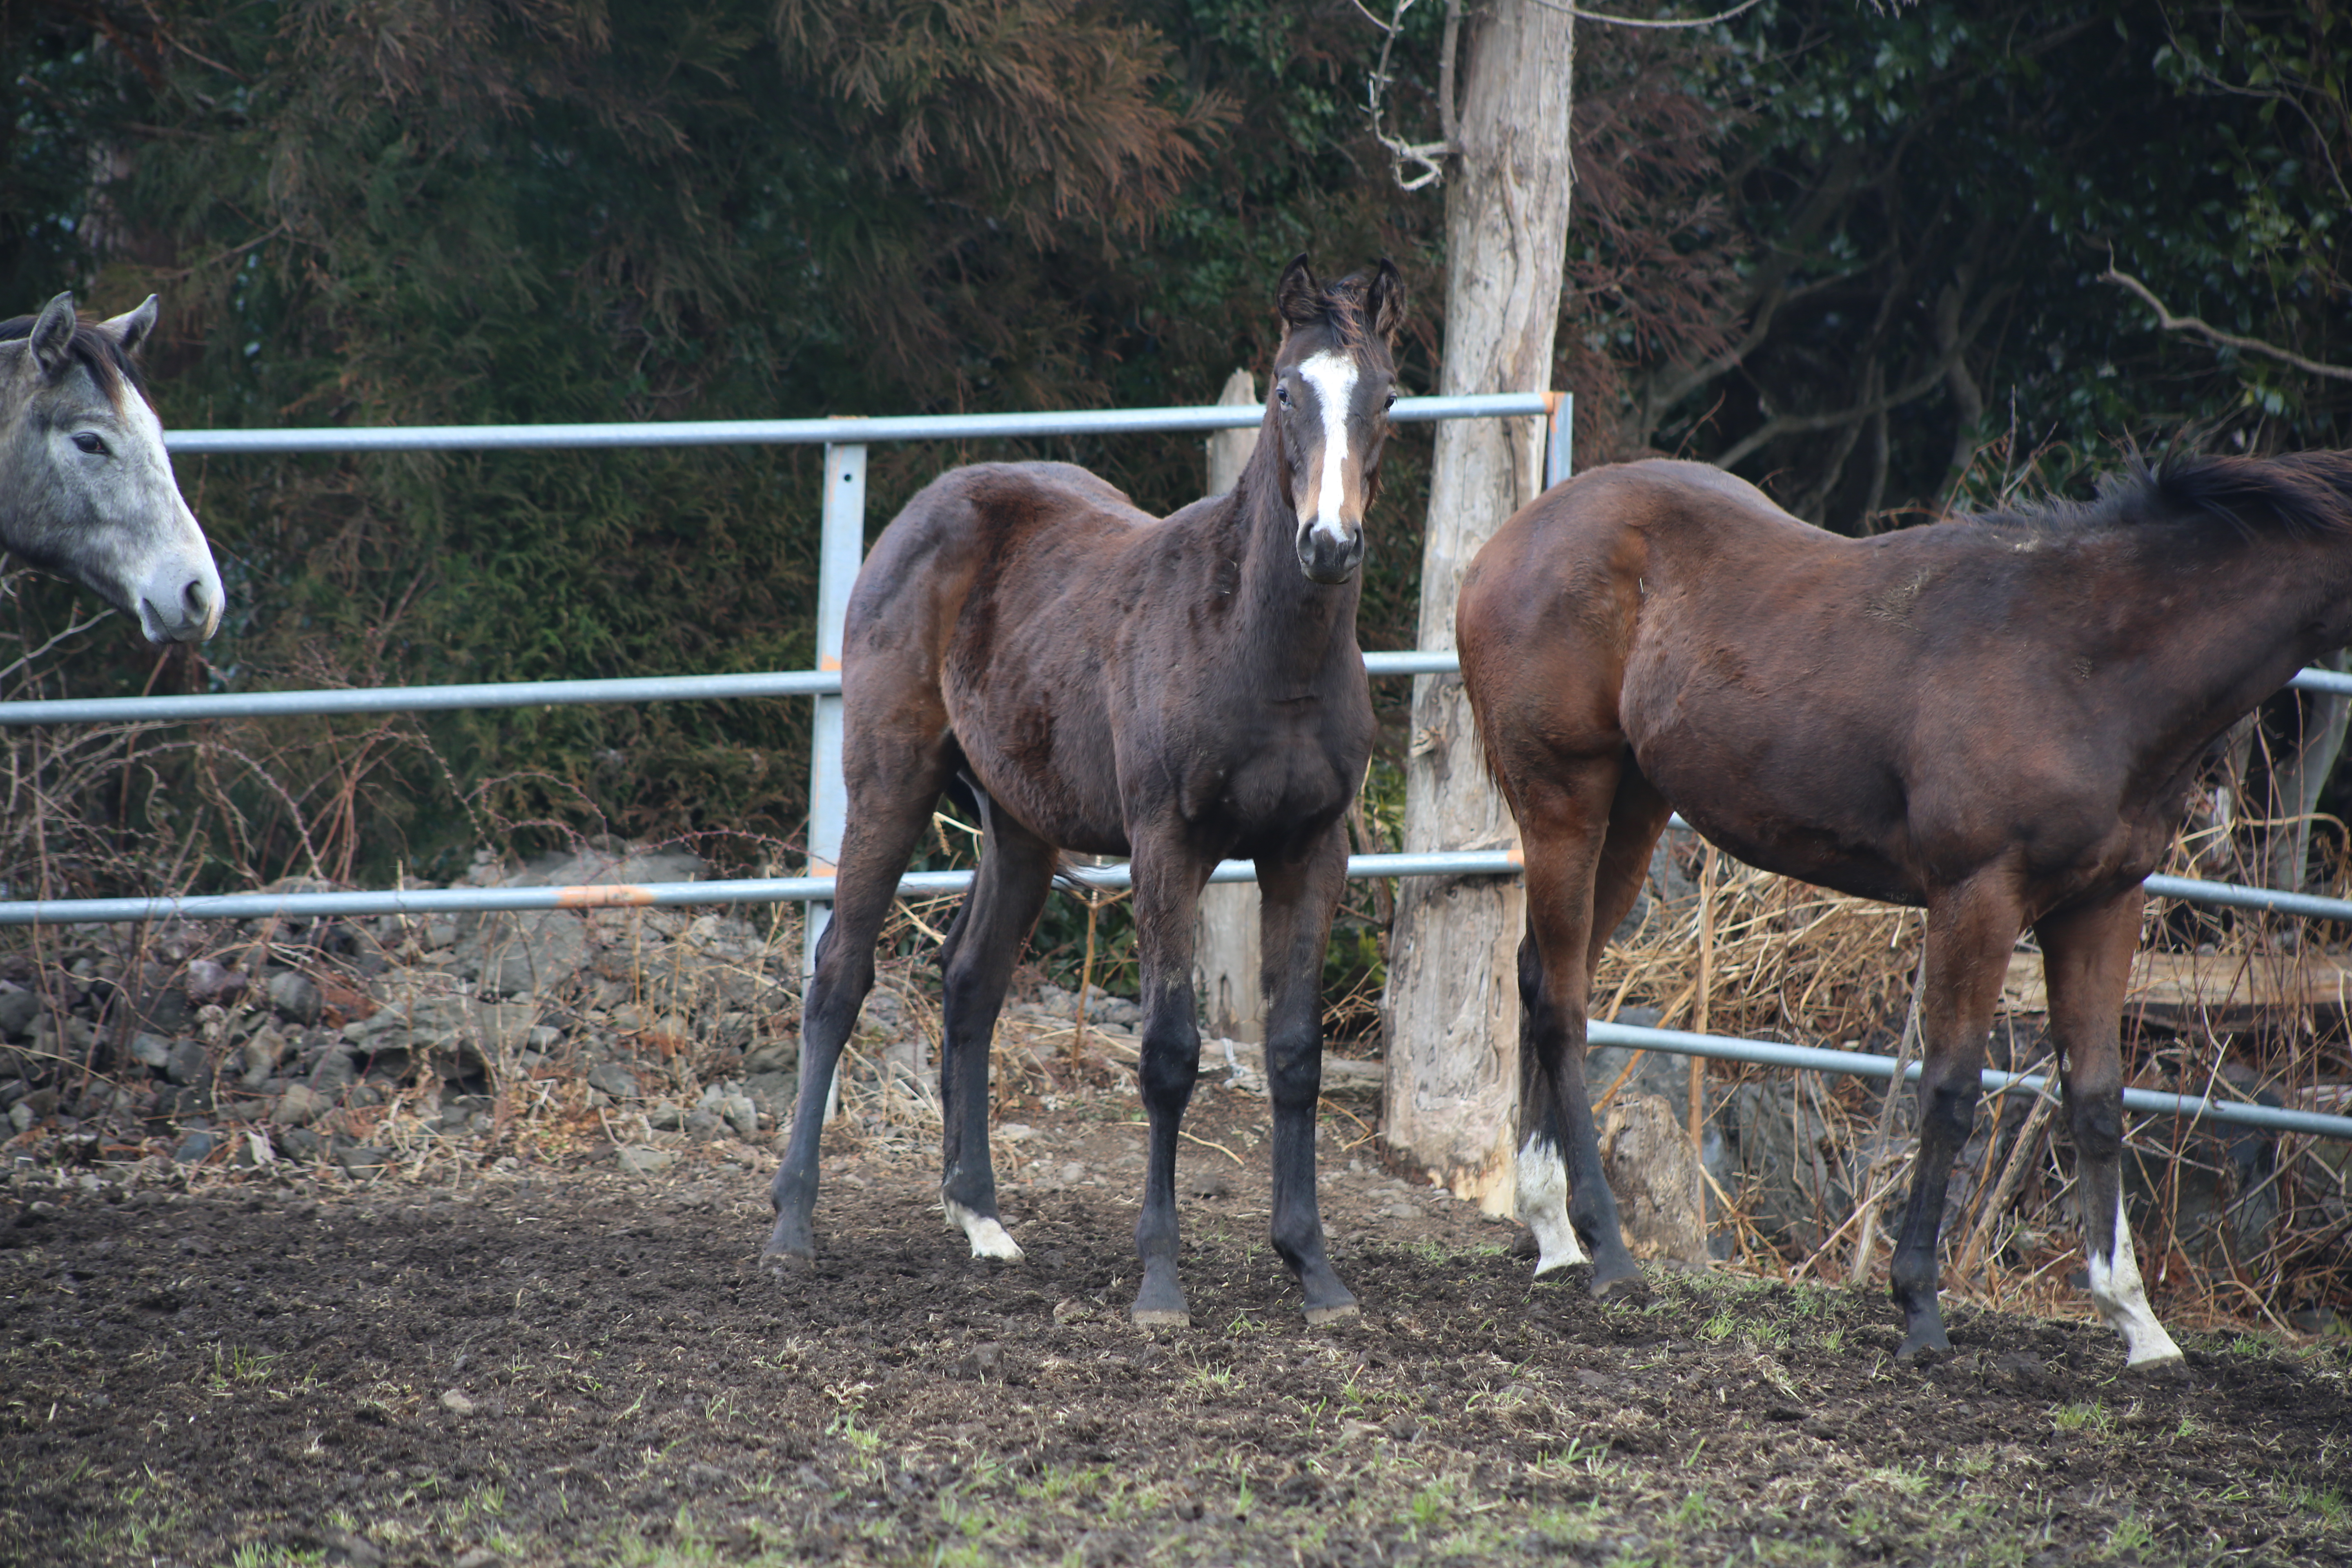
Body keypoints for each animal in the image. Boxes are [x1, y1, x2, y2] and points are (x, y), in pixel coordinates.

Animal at [771, 255, 1401, 1326]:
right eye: (1285, 391)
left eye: (1386, 398)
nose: (1328, 544)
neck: (1261, 648)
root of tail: (929, 506)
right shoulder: (1167, 846)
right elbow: (1168, 1053)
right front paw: (1159, 1281)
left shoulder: (1312, 848)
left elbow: (1293, 1050)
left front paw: (1315, 1269)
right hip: (889, 781)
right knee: (840, 974)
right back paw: (792, 1225)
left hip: (1021, 827)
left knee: (971, 983)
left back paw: (981, 1218)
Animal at [1458, 451, 2352, 1363]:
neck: (2088, 660)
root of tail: (1508, 545)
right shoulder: (1978, 895)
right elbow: (1952, 1090)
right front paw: (1919, 1308)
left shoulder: (2104, 906)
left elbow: (2099, 1098)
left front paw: (2138, 1322)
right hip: (1565, 802)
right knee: (1564, 1006)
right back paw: (1607, 1253)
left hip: (1634, 808)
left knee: (1539, 977)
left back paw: (1552, 1234)